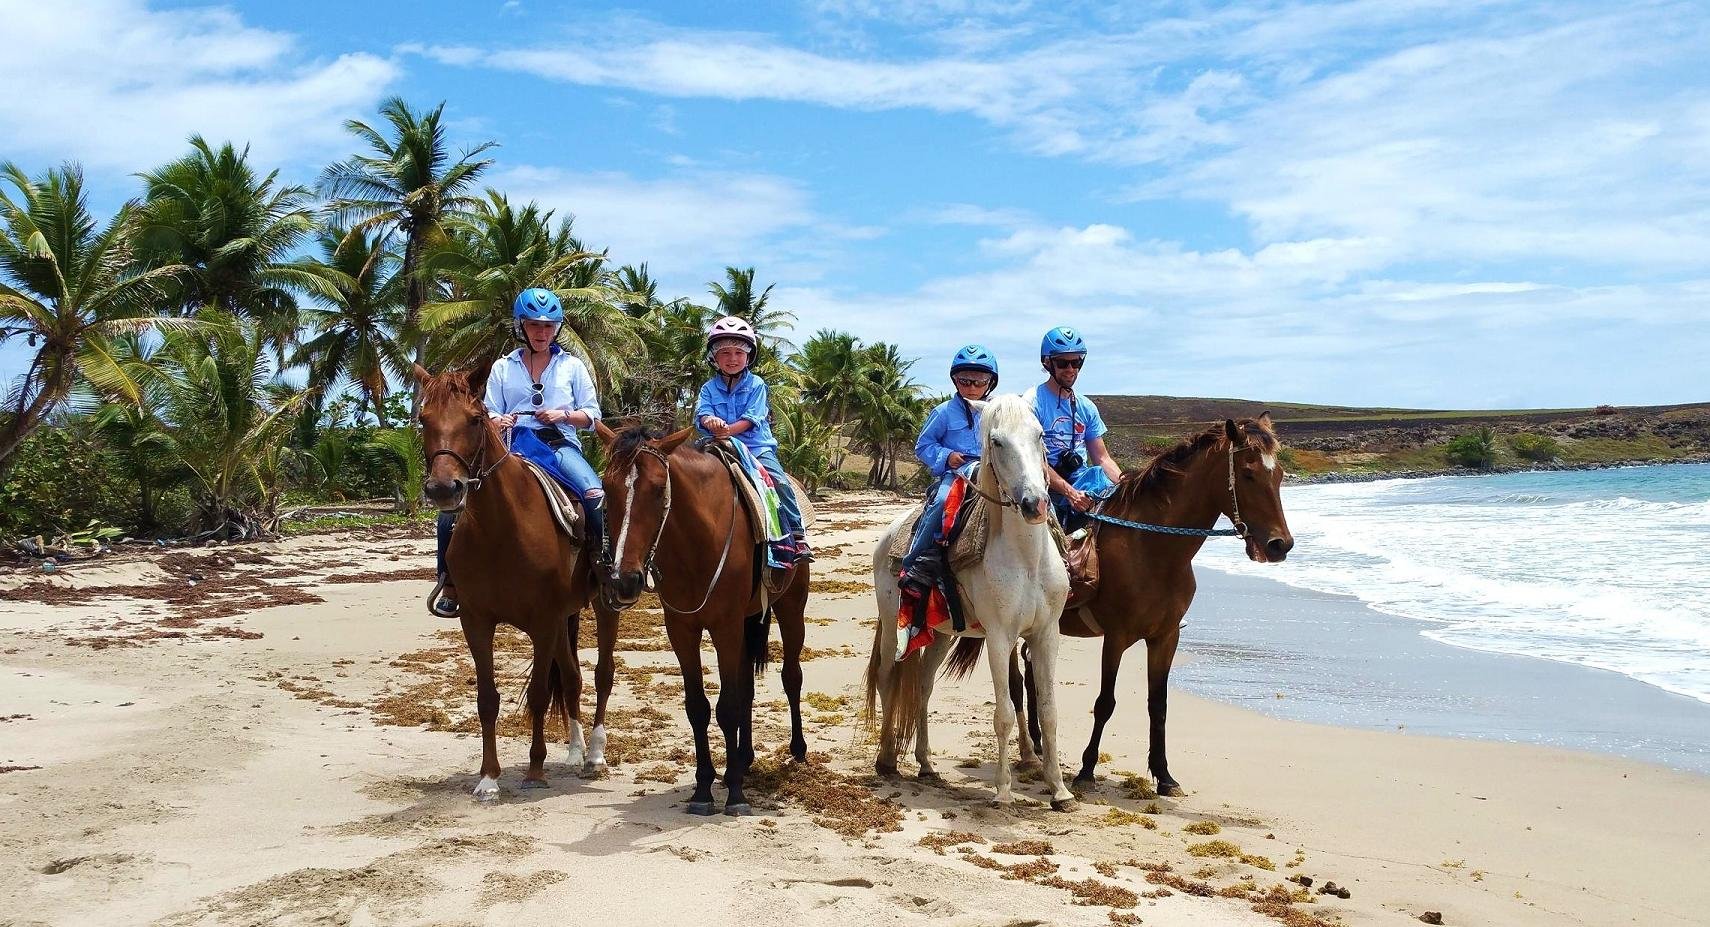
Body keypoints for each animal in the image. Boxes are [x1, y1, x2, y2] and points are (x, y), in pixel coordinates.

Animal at [415, 367, 622, 803]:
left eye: (475, 419)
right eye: (423, 420)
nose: (444, 489)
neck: (500, 529)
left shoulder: (542, 622)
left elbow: (541, 694)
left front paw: (535, 771)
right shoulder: (476, 621)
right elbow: (487, 699)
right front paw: (488, 778)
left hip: (601, 606)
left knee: (602, 674)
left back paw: (595, 755)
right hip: (563, 620)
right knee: (574, 679)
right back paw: (575, 752)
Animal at [598, 425, 810, 817]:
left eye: (657, 488)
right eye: (607, 487)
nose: (625, 579)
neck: (697, 543)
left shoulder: (725, 627)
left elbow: (727, 706)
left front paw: (736, 795)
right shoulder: (682, 630)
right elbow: (699, 706)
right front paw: (703, 788)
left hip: (791, 609)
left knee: (791, 677)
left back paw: (797, 750)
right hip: (747, 621)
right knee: (747, 687)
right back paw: (743, 758)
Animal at [868, 396, 1067, 810]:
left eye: (1040, 435)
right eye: (997, 441)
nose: (1034, 504)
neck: (1027, 560)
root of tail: (888, 535)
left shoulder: (1046, 634)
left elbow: (1049, 711)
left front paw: (1059, 789)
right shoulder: (999, 637)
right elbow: (1004, 712)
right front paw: (1003, 791)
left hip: (941, 635)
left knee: (922, 686)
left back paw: (926, 764)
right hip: (892, 624)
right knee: (887, 679)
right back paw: (887, 759)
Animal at [998, 417, 1292, 797]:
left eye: (1280, 475)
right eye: (1248, 474)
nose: (1280, 545)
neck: (1152, 549)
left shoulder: (1165, 638)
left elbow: (1159, 705)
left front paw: (1164, 775)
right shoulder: (1116, 637)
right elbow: (1105, 703)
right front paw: (1086, 770)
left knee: (1034, 674)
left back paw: (1038, 744)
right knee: (1017, 682)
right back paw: (1030, 753)